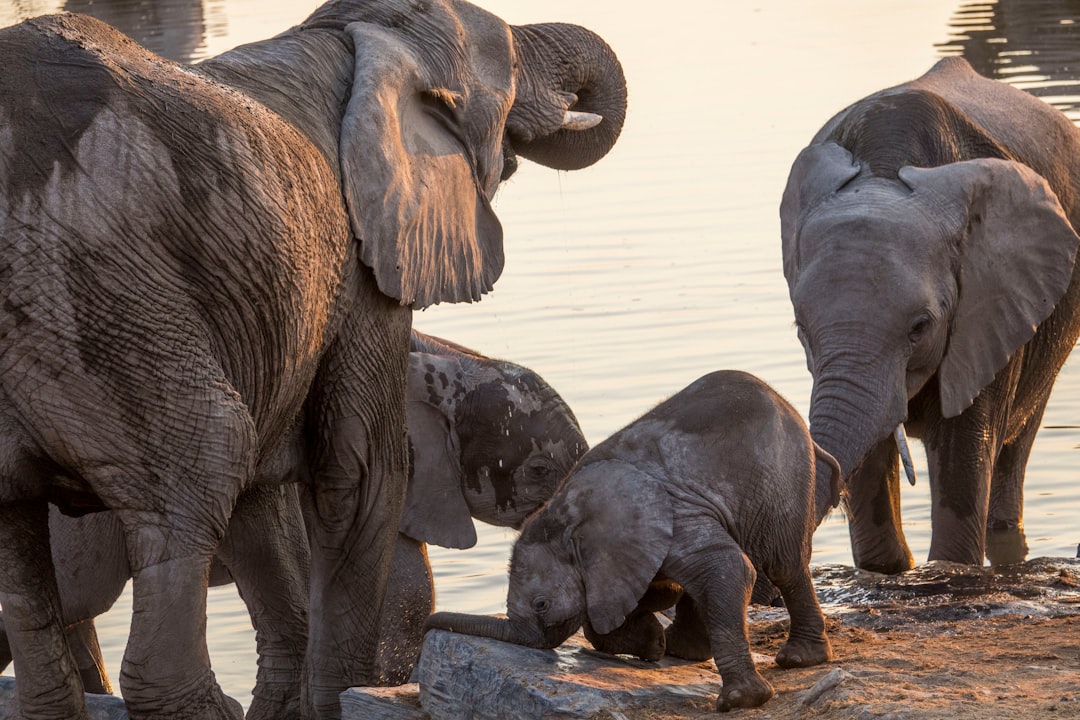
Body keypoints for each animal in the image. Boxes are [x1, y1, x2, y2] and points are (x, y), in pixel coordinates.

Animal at [426, 370, 841, 712]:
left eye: (541, 604)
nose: (428, 625)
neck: (566, 513)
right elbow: (642, 597)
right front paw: (652, 644)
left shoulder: (672, 514)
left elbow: (730, 568)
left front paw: (739, 702)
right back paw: (681, 649)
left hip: (782, 480)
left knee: (784, 565)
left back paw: (796, 659)